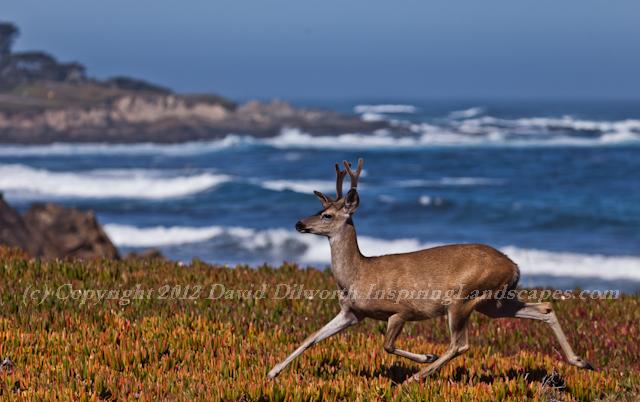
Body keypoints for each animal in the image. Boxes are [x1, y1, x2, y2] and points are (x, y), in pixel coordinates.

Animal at [266, 158, 596, 384]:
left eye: (327, 215)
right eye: (319, 210)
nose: (299, 223)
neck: (359, 275)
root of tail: (514, 265)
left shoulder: (400, 310)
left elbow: (387, 345)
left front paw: (425, 356)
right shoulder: (352, 312)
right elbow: (312, 337)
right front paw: (272, 371)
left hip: (464, 297)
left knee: (459, 344)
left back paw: (417, 376)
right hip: (495, 301)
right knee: (544, 307)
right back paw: (581, 361)